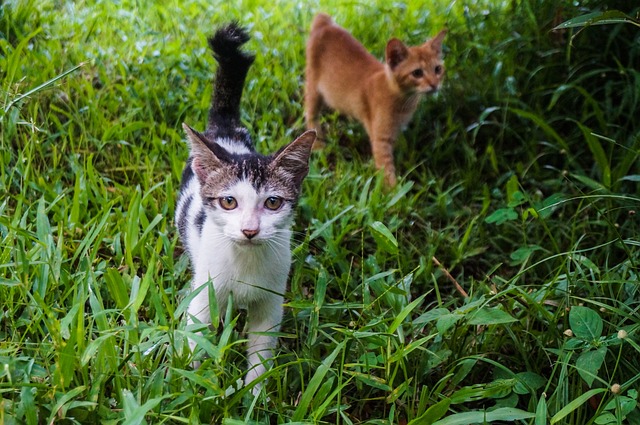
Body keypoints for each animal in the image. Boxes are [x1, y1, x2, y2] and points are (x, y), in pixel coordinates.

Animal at [174, 22, 316, 394]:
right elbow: (197, 337)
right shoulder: (204, 295)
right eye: (229, 202)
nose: (250, 230)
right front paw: (192, 387)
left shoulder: (271, 300)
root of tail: (226, 131)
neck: (246, 264)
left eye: (272, 202)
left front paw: (254, 394)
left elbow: (261, 352)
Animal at [304, 12, 444, 186]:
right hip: (313, 89)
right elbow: (386, 172)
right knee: (310, 115)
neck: (403, 101)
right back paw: (318, 146)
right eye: (417, 73)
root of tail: (324, 23)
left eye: (438, 69)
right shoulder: (380, 140)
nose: (434, 84)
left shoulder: (394, 133)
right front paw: (395, 192)